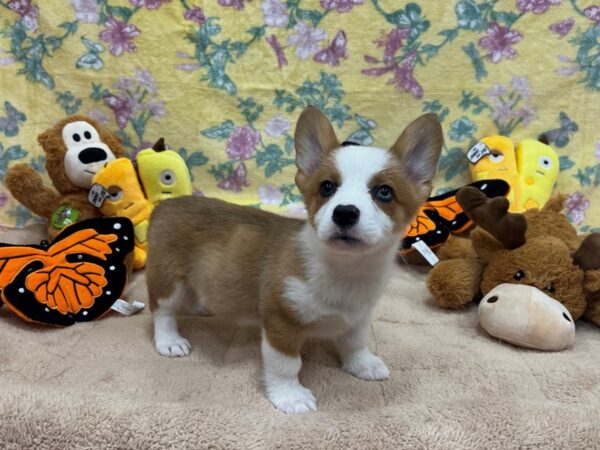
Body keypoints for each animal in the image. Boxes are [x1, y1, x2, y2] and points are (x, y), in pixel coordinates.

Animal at [146, 106, 440, 414]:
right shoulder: (281, 322)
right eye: (327, 187)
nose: (344, 213)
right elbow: (286, 365)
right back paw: (170, 341)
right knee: (162, 310)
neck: (345, 271)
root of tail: (166, 204)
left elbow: (356, 344)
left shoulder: (358, 317)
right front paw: (290, 396)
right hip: (167, 279)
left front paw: (363, 365)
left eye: (384, 192)